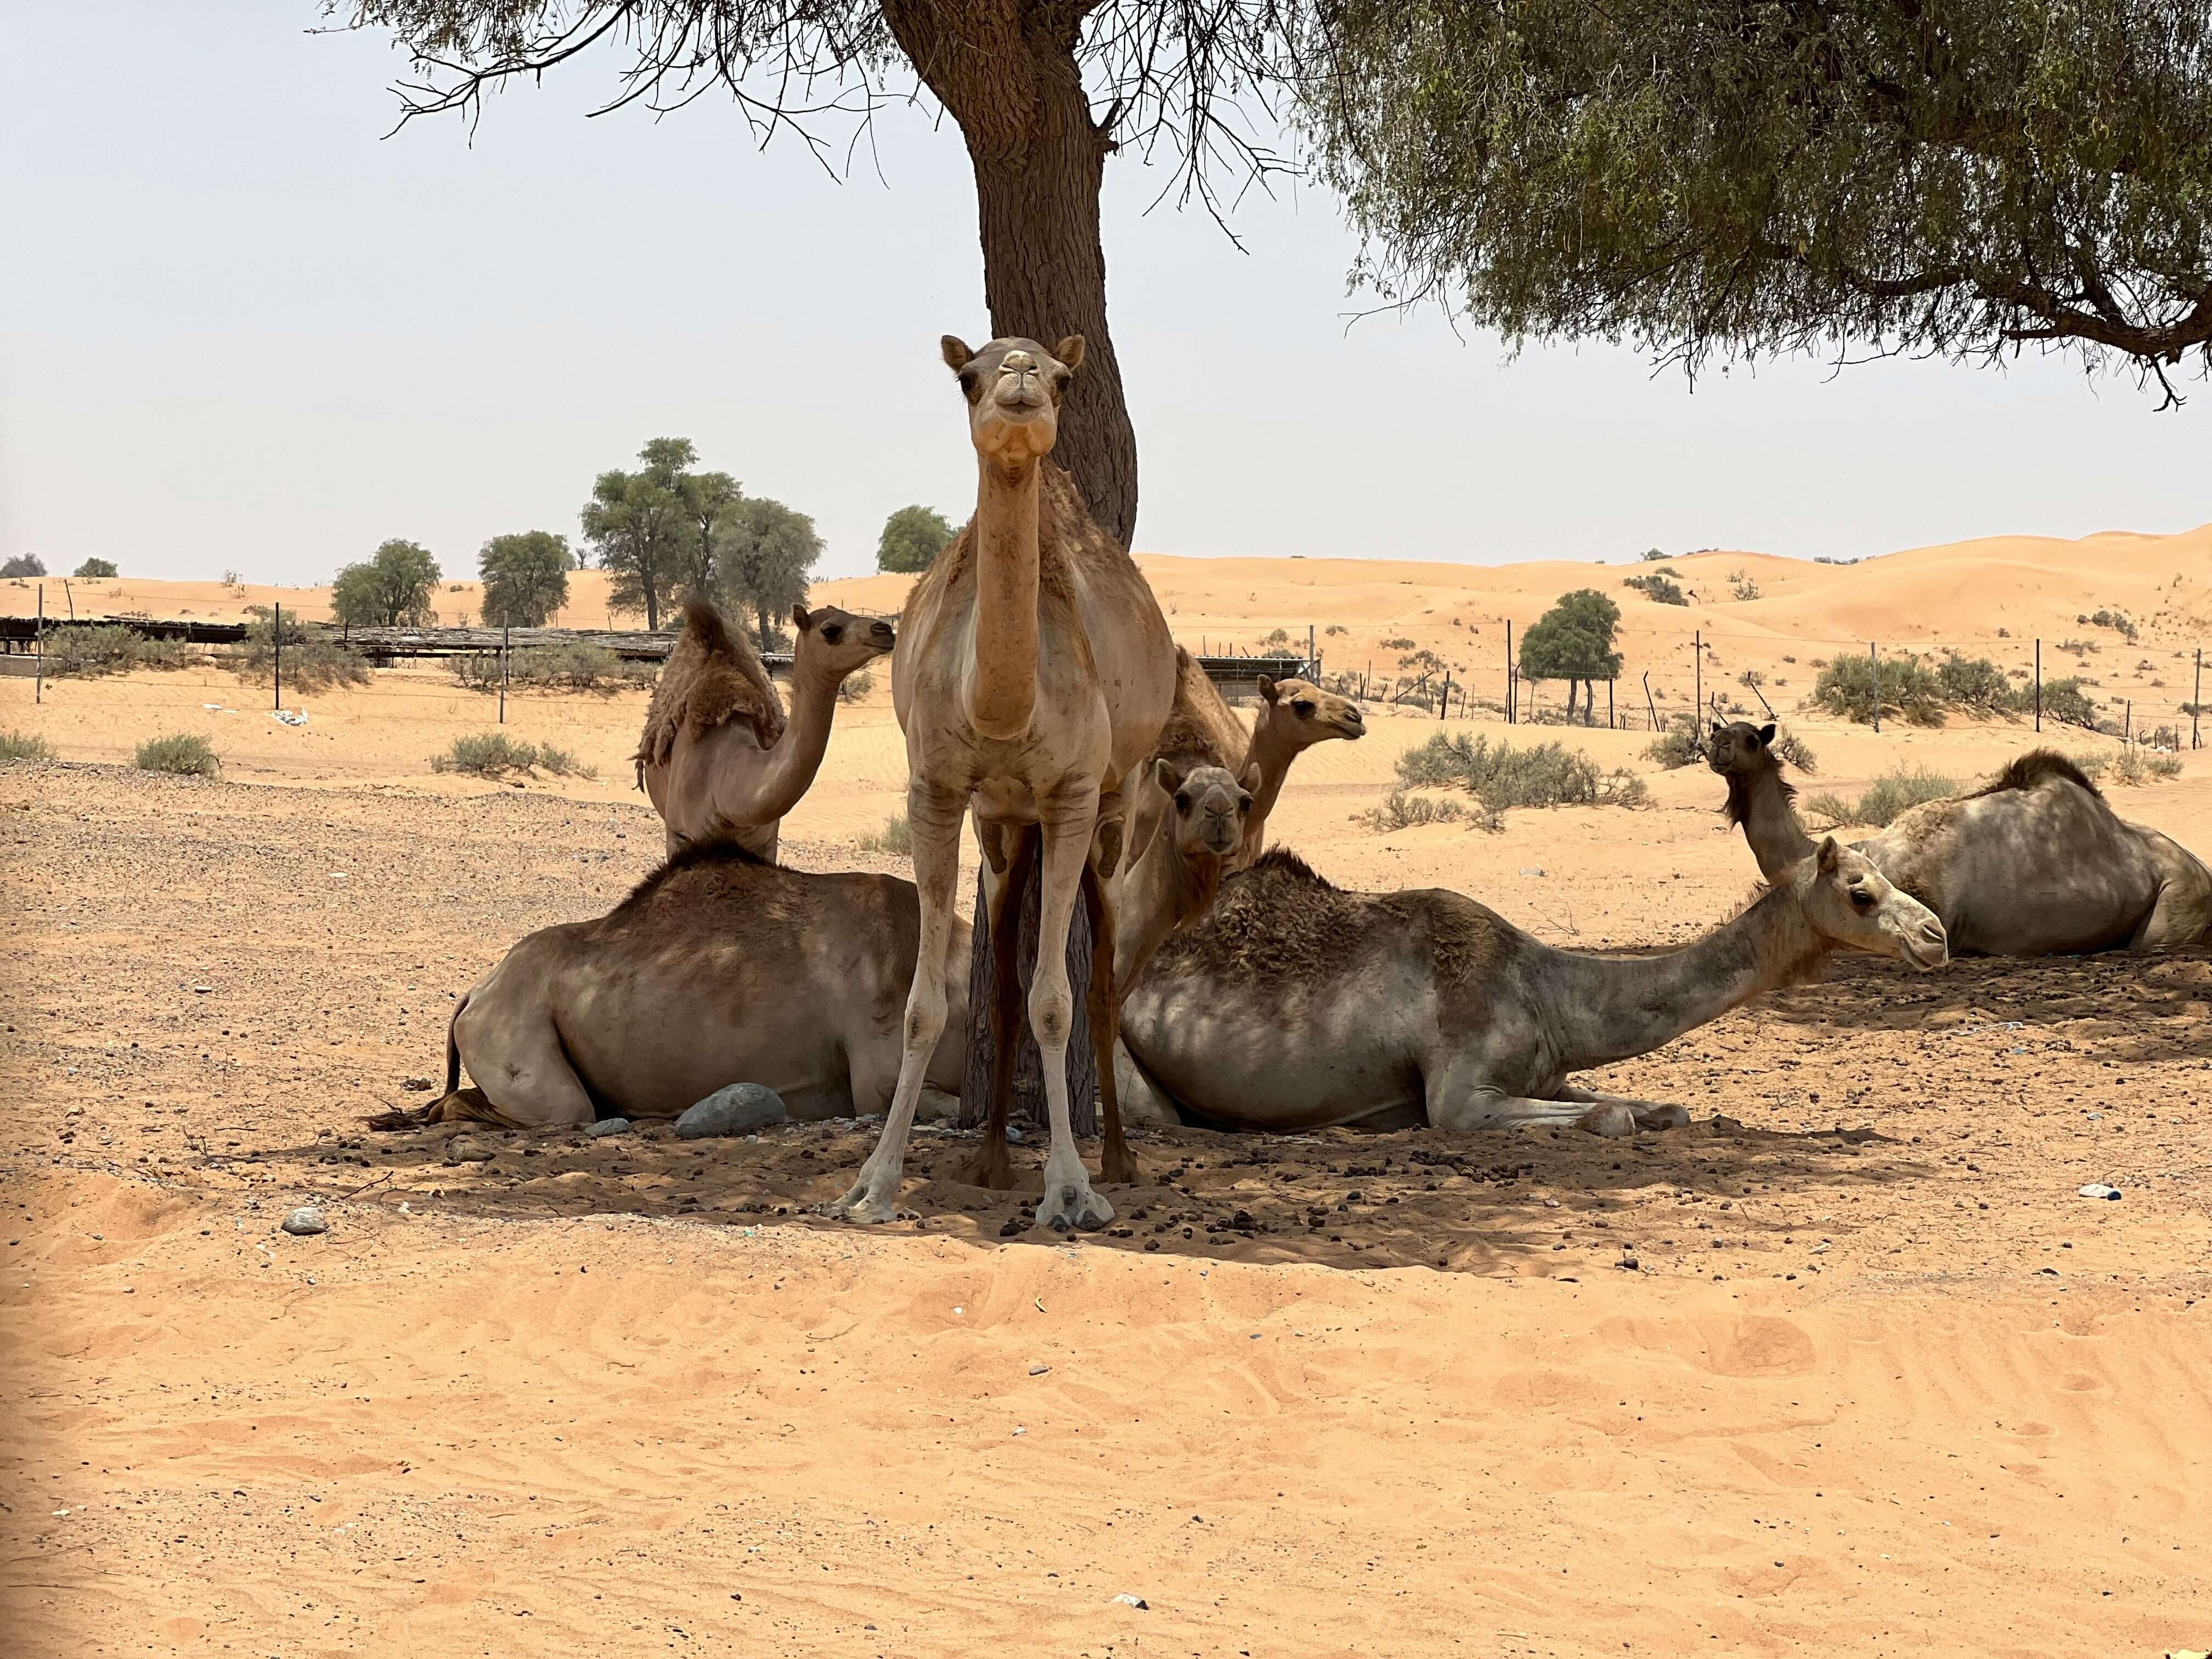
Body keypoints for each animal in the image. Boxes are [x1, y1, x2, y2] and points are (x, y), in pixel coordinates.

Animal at [827, 331, 1177, 1238]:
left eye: (1061, 378)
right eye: (967, 376)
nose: (1020, 381)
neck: (1002, 703)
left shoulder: (1072, 795)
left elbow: (1059, 998)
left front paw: (1071, 1191)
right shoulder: (937, 792)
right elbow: (927, 1005)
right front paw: (874, 1184)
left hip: (1114, 809)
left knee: (1100, 979)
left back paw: (1117, 1159)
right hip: (1002, 829)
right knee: (1004, 979)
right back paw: (987, 1161)